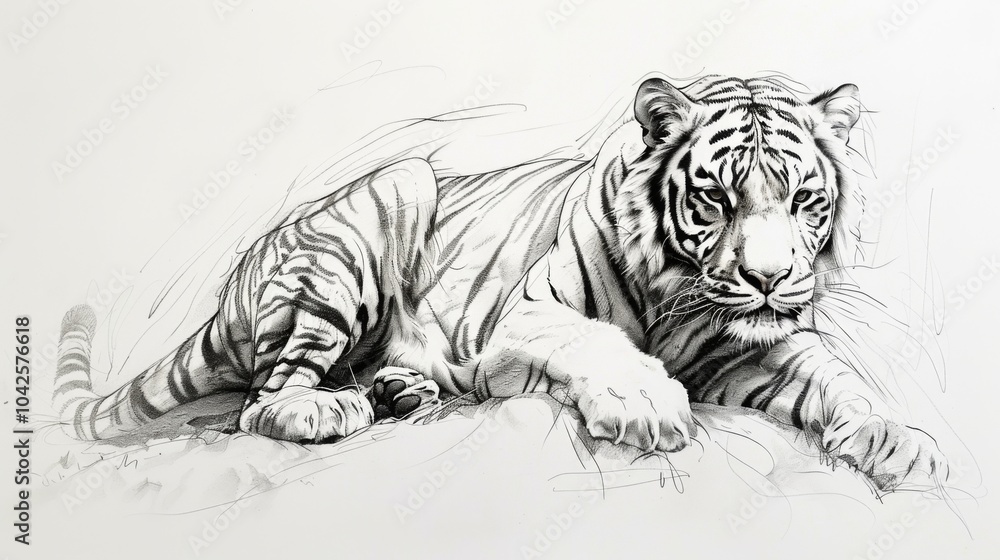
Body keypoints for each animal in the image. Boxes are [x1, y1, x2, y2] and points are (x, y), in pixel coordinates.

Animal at [54, 74, 948, 492]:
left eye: (803, 201)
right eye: (715, 199)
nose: (768, 278)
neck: (682, 299)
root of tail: (237, 282)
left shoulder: (757, 347)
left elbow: (837, 377)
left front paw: (899, 442)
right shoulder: (524, 316)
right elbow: (597, 340)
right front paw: (648, 404)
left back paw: (401, 390)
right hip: (392, 193)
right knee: (261, 401)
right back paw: (327, 407)